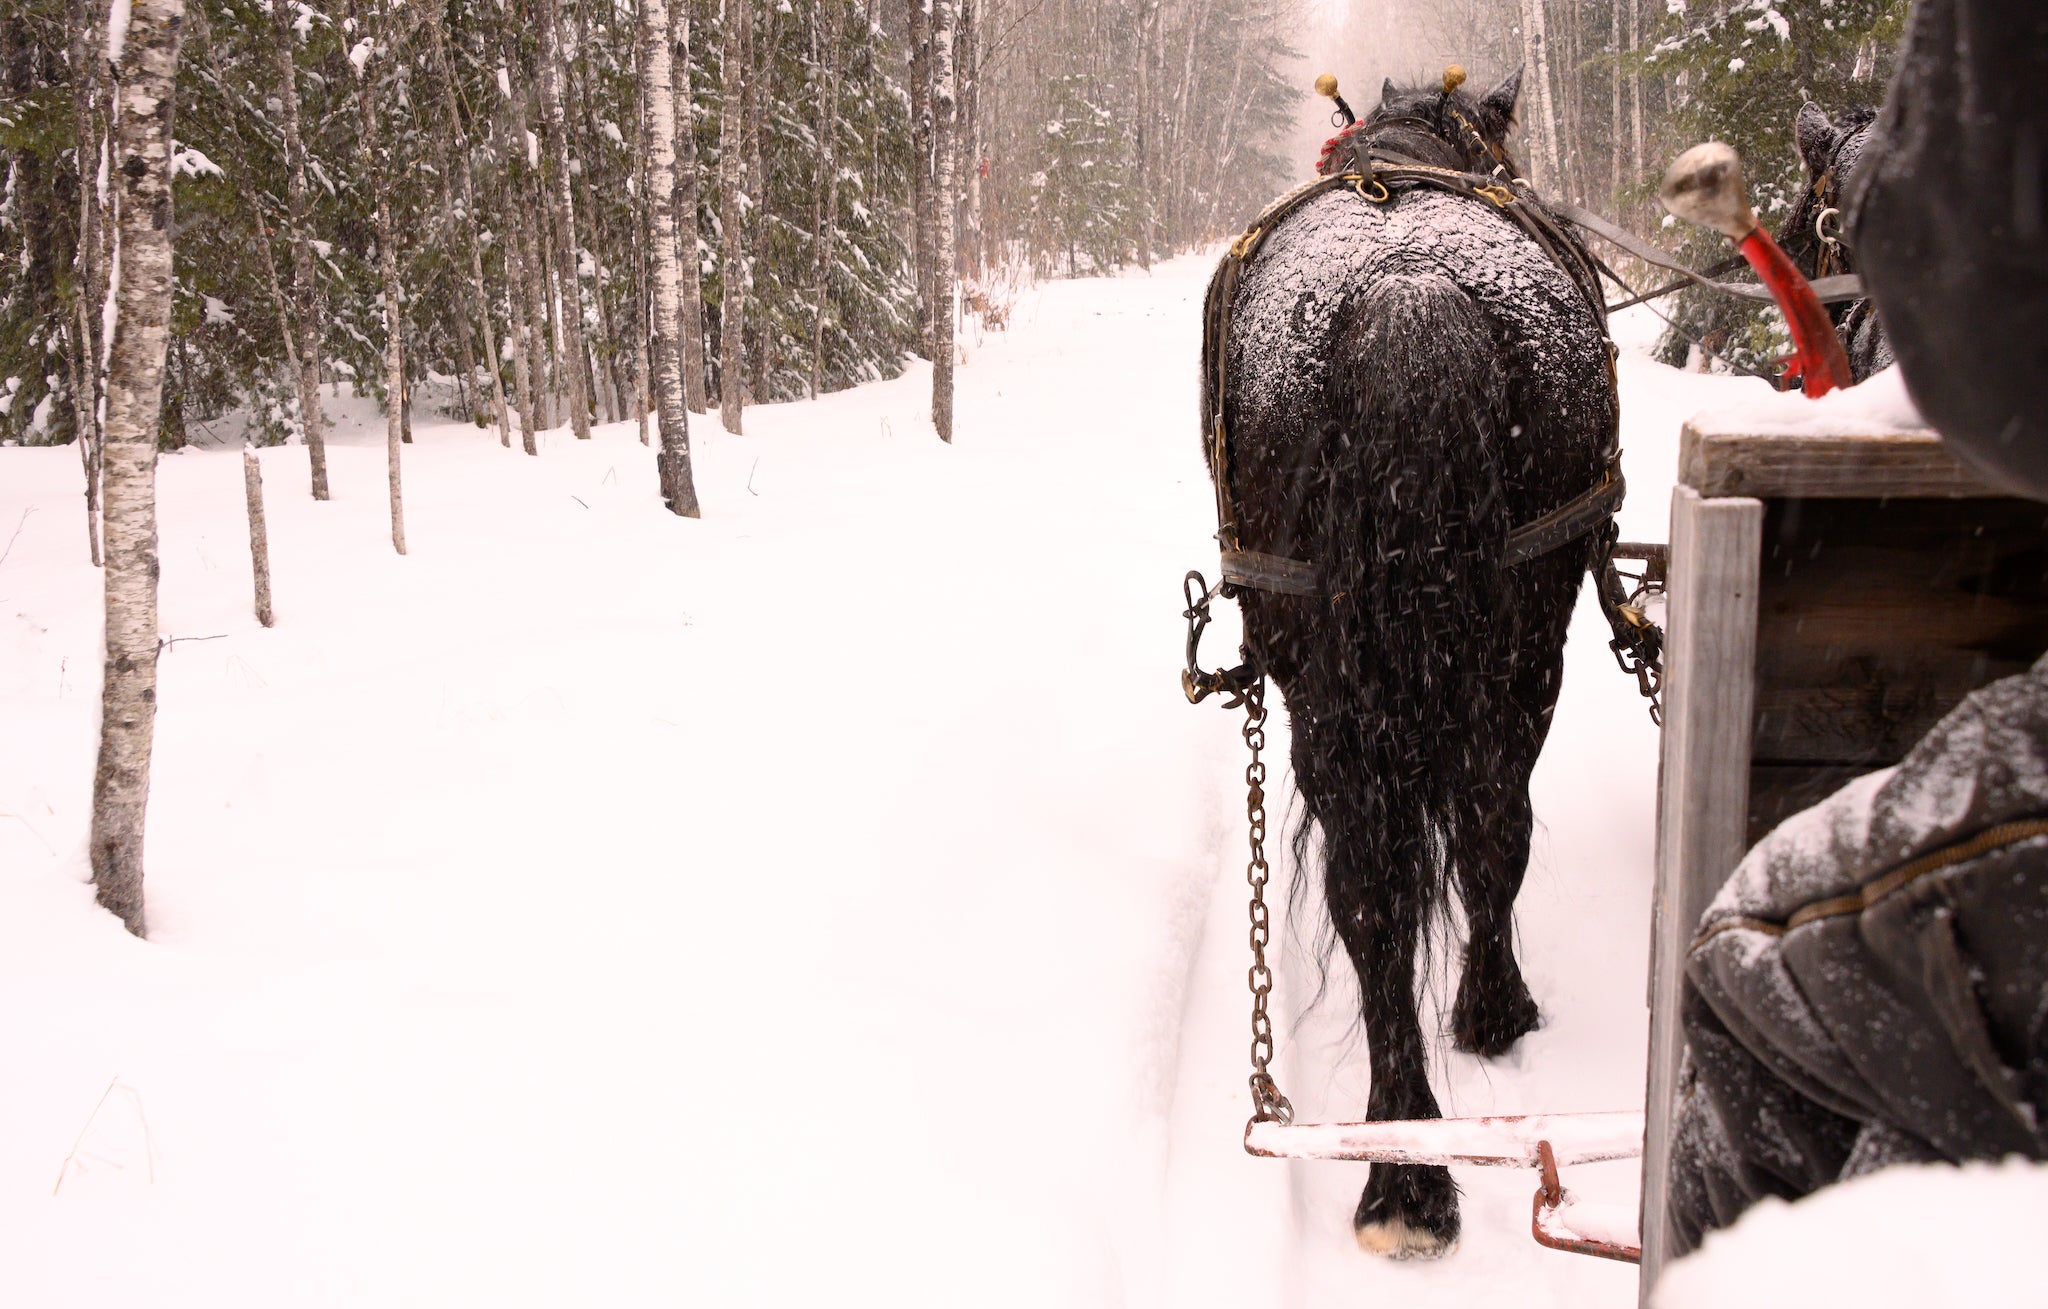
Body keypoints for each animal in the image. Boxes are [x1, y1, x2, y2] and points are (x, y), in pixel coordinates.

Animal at [1196, 71, 1613, 1261]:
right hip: (1525, 644)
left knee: (1374, 888)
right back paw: (1474, 1040)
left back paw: (1403, 1169)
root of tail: (1406, 293)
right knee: (1485, 825)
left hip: (1332, 679)